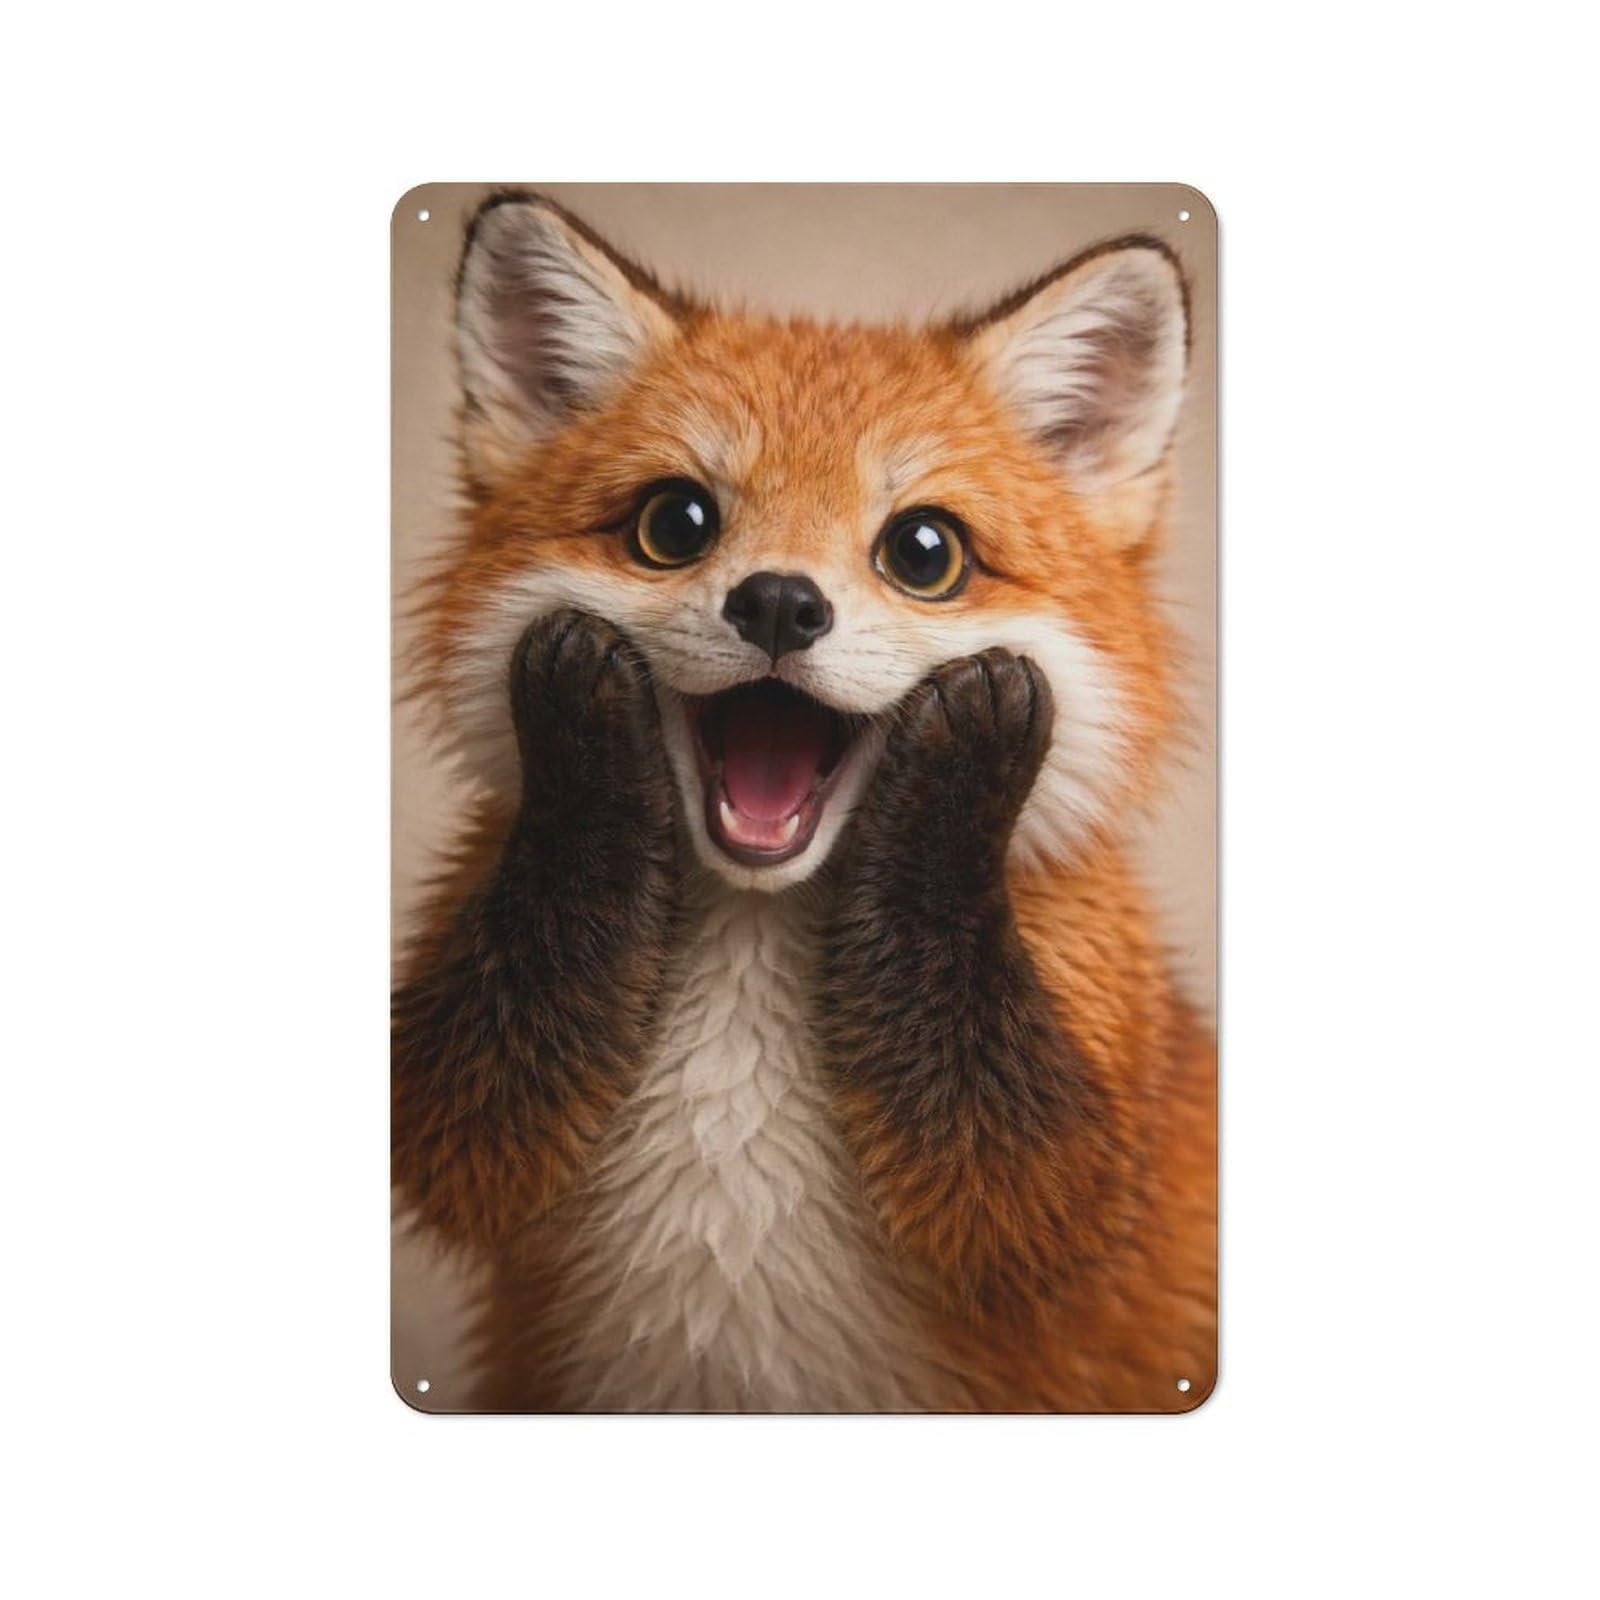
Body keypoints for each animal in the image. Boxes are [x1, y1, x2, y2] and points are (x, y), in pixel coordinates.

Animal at [393, 191, 1216, 1412]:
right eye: (675, 524)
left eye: (924, 551)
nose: (780, 602)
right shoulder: (460, 1106)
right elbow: (460, 1117)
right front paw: (583, 729)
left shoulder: (1079, 1175)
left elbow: (1024, 1189)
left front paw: (962, 771)